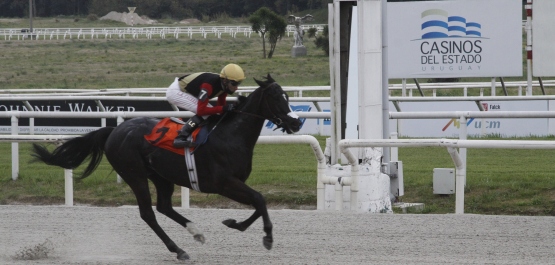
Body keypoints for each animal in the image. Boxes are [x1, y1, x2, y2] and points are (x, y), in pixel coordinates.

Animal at [32, 74, 302, 260]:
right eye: (277, 98)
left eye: (288, 97)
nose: (296, 123)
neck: (230, 135)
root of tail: (114, 130)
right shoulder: (224, 183)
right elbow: (260, 199)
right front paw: (267, 237)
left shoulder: (236, 183)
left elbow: (259, 202)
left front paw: (235, 224)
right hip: (135, 175)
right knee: (148, 213)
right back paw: (178, 249)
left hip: (161, 176)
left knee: (163, 206)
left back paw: (196, 232)